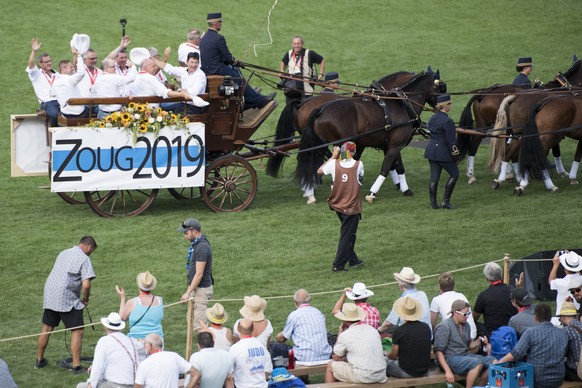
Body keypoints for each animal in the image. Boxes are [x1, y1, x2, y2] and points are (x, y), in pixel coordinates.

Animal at [296, 69, 448, 194]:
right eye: (442, 87)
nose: (444, 106)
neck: (402, 104)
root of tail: (320, 109)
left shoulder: (389, 145)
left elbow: (397, 166)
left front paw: (404, 188)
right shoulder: (395, 145)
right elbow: (386, 167)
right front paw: (373, 192)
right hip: (338, 144)